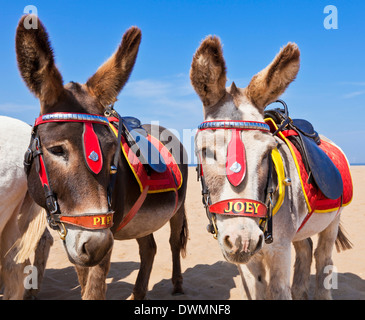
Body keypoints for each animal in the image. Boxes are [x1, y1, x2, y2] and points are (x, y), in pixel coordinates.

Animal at [192, 37, 352, 300]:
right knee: (306, 249)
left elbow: (278, 291)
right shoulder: (249, 262)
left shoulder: (279, 250)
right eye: (206, 151)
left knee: (323, 258)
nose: (243, 240)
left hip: (332, 220)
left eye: (268, 152)